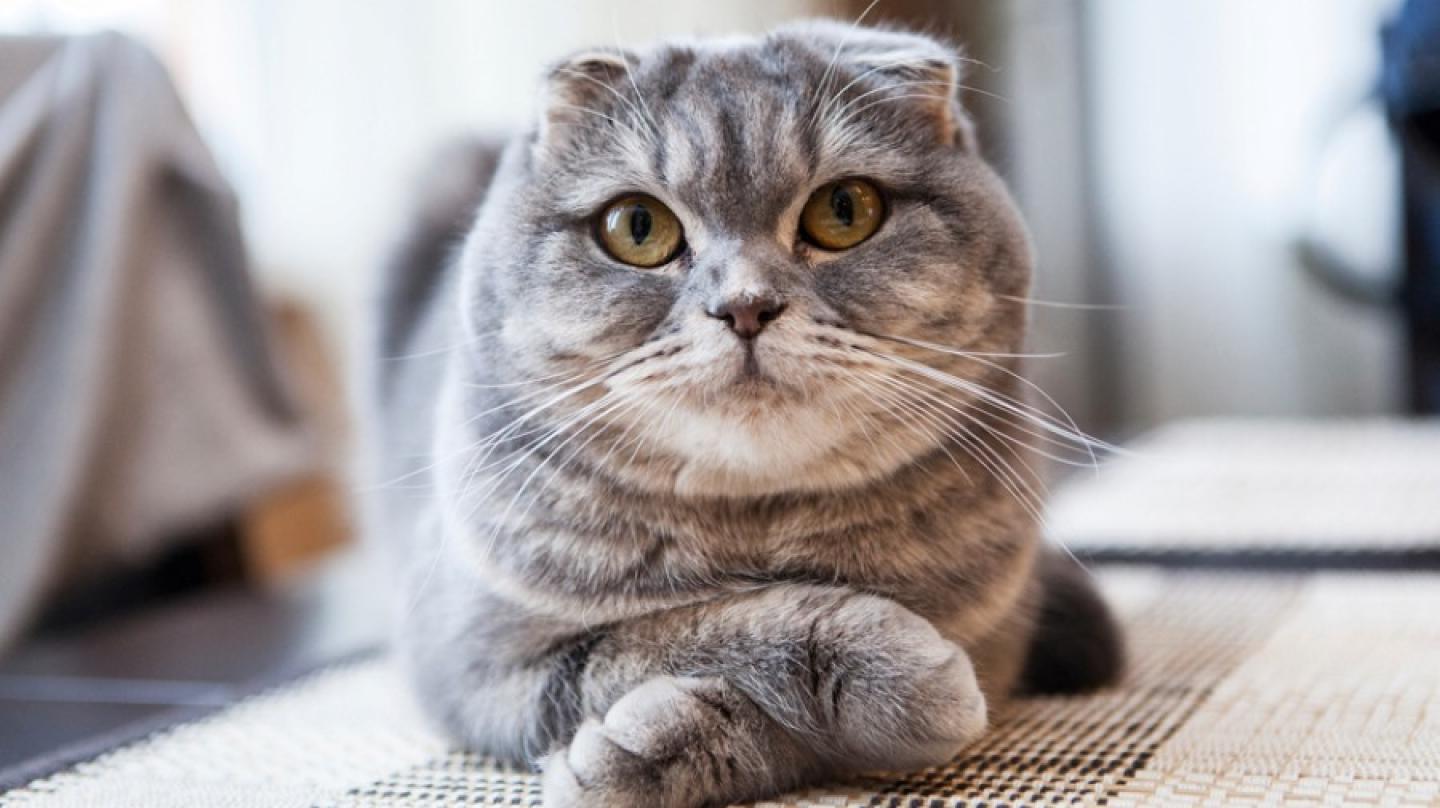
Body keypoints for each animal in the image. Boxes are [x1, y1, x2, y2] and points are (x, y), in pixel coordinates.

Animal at [362, 22, 1123, 806]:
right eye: (637, 227)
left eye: (844, 210)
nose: (746, 306)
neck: (756, 539)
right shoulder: (469, 663)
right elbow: (670, 634)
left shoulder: (994, 636)